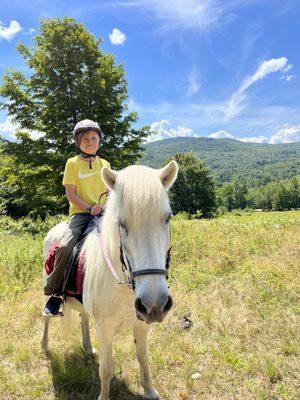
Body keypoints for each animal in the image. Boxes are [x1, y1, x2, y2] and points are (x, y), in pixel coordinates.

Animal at [41, 161, 178, 398]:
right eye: (121, 223)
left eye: (167, 218)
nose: (154, 304)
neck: (123, 288)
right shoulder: (105, 329)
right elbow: (106, 369)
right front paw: (104, 395)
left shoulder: (142, 325)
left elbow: (143, 359)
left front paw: (149, 392)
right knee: (46, 318)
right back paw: (44, 344)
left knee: (83, 318)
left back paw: (88, 348)